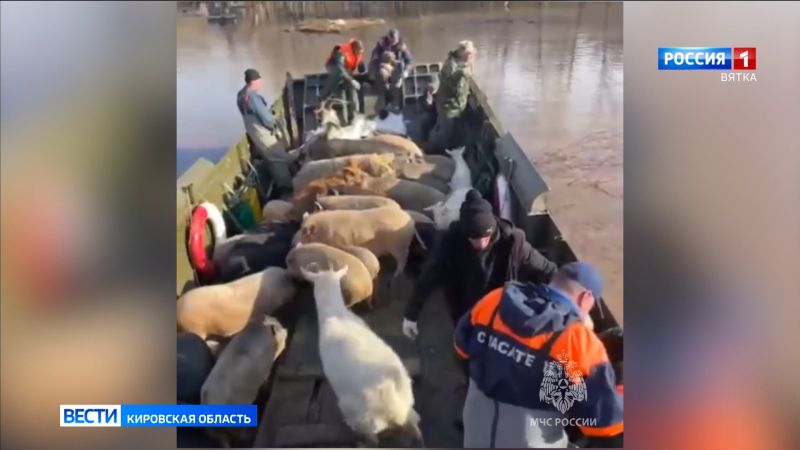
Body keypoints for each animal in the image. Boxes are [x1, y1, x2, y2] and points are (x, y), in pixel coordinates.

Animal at [300, 264, 424, 446]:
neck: (335, 313)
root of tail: (394, 408)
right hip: (407, 404)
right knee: (416, 426)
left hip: (361, 416)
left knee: (372, 439)